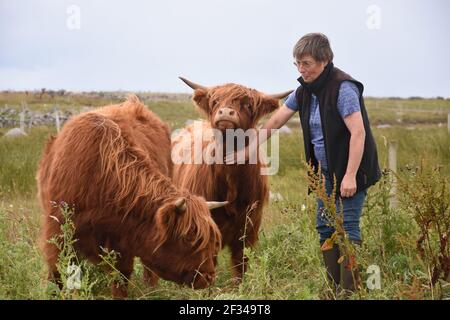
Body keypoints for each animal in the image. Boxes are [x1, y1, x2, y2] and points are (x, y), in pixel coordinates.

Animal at [35, 94, 227, 298]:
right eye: (189, 237)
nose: (208, 277)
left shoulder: (123, 243)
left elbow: (120, 280)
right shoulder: (58, 235)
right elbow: (56, 275)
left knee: (149, 272)